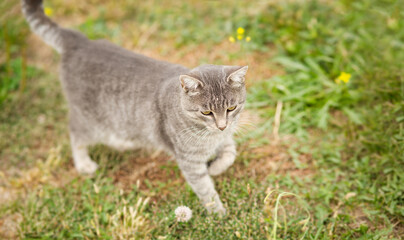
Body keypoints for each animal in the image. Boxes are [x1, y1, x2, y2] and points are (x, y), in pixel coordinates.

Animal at [23, 0, 248, 214]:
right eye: (206, 112)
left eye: (231, 108)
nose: (222, 126)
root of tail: (81, 41)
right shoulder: (189, 161)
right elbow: (205, 188)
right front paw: (218, 213)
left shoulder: (225, 137)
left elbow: (230, 152)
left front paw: (216, 168)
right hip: (90, 122)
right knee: (75, 133)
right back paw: (84, 164)